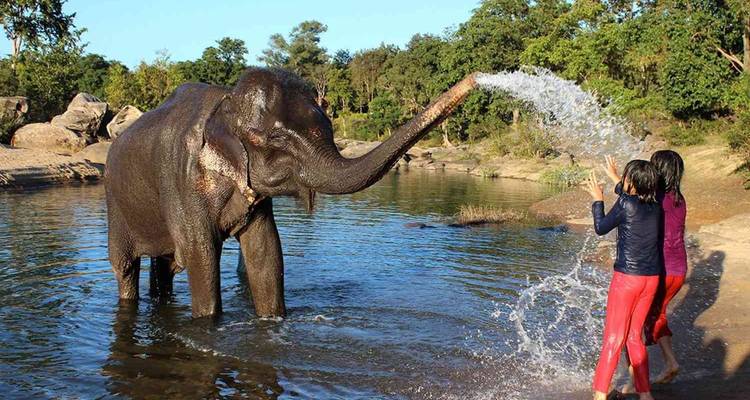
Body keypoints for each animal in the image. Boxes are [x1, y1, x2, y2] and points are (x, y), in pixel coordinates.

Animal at [105, 67, 477, 318]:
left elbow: (265, 251)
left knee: (164, 264)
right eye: (277, 140)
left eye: (329, 127)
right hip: (116, 205)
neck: (226, 103)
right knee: (125, 267)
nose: (476, 79)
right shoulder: (182, 180)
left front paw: (273, 321)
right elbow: (201, 254)